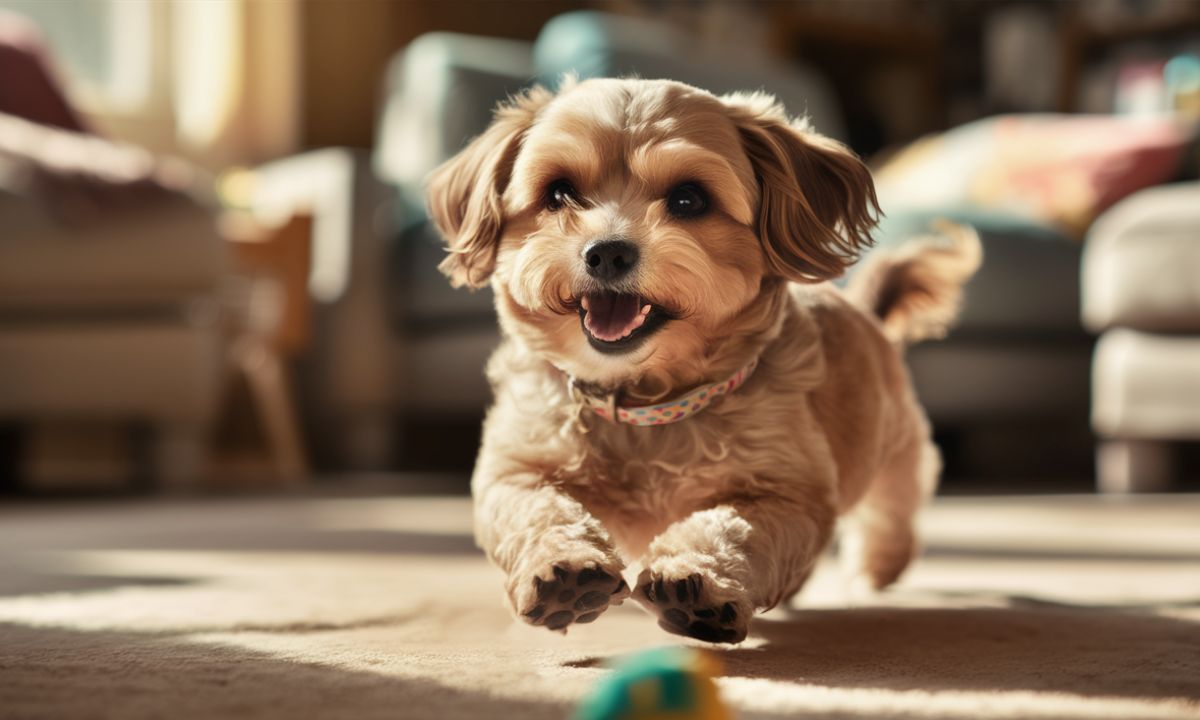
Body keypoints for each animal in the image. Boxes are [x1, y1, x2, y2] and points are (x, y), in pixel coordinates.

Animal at [427, 77, 979, 643]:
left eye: (688, 198)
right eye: (558, 192)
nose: (607, 252)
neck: (646, 405)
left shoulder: (787, 494)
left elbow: (729, 529)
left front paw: (695, 581)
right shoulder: (513, 472)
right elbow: (540, 512)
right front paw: (564, 574)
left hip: (892, 455)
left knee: (890, 517)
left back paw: (875, 570)